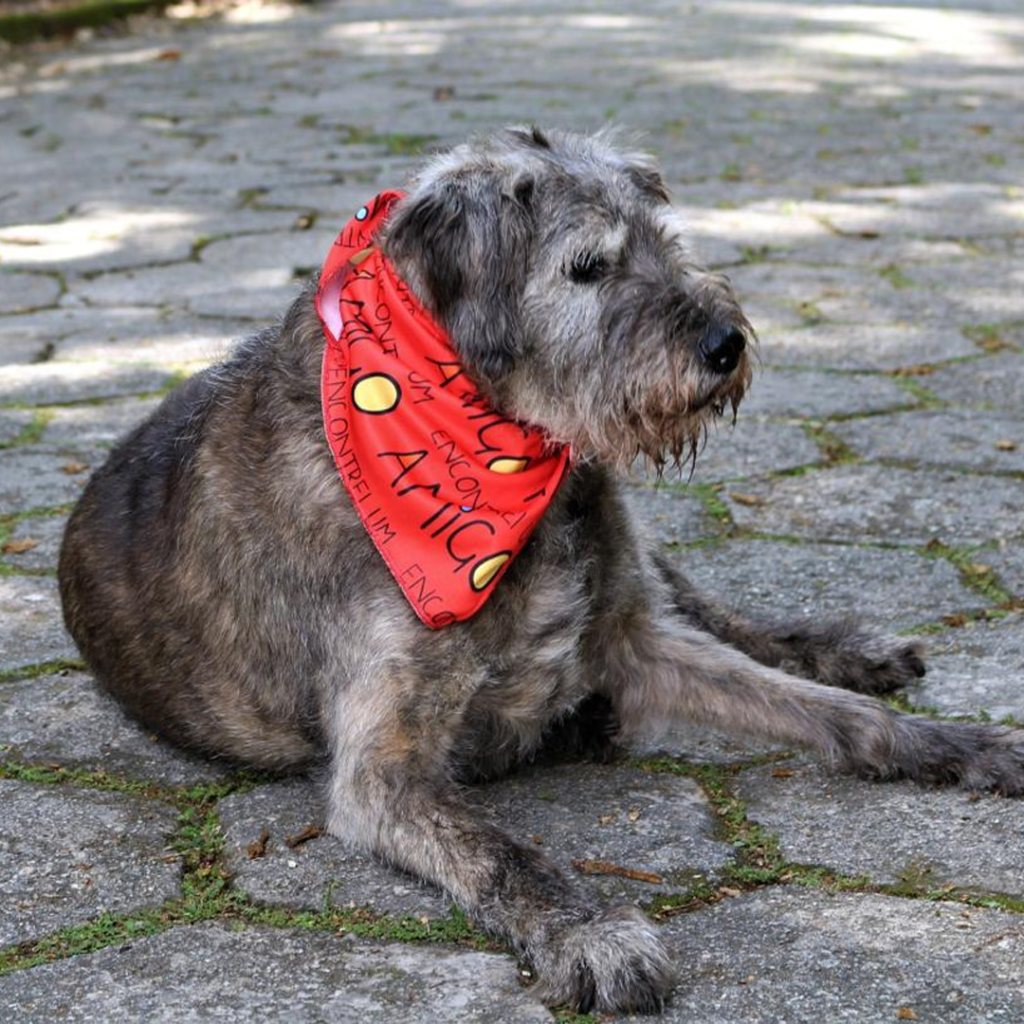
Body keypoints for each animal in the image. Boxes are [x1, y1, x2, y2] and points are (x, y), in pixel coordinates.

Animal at [58, 130, 1024, 1015]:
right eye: (588, 267)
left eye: (665, 242)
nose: (726, 343)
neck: (503, 451)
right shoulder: (382, 774)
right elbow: (503, 856)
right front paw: (593, 934)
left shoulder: (635, 640)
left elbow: (828, 713)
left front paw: (950, 744)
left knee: (720, 612)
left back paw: (850, 649)